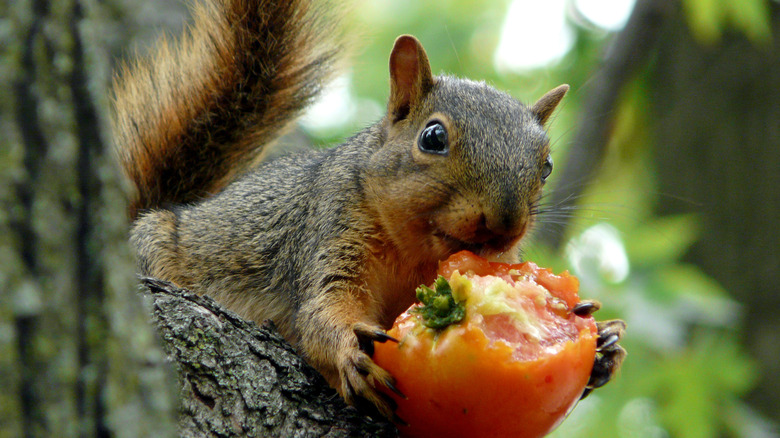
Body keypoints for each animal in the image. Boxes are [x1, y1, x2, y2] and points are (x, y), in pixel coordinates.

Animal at [112, 0, 624, 420]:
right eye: (432, 137)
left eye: (547, 165)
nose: (505, 223)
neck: (415, 255)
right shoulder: (329, 231)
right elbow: (323, 307)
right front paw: (350, 351)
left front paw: (604, 344)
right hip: (154, 242)